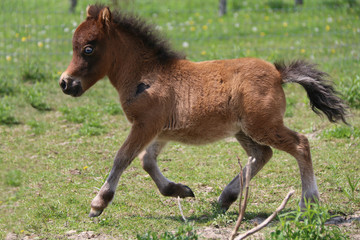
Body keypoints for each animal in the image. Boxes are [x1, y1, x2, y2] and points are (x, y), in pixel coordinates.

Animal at [59, 5, 348, 218]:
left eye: (88, 48)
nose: (65, 83)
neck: (148, 75)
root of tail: (278, 73)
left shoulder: (145, 125)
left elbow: (122, 158)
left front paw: (98, 203)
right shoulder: (160, 129)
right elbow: (147, 161)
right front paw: (180, 190)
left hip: (262, 125)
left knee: (300, 144)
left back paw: (309, 202)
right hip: (243, 130)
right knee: (262, 154)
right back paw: (225, 198)